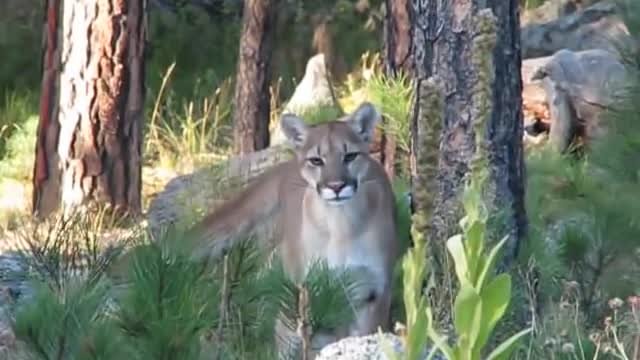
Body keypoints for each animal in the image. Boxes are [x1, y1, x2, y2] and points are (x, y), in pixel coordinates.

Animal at [184, 101, 400, 352]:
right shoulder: (309, 289)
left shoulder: (375, 292)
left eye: (350, 156)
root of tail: (284, 167)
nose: (336, 186)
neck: (341, 225)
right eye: (316, 160)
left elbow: (368, 335)